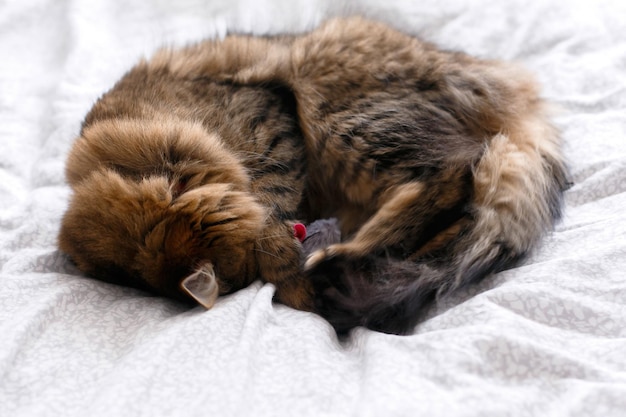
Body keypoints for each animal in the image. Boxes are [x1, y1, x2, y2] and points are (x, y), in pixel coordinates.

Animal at [57, 17, 564, 334]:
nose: (302, 230)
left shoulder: (269, 123)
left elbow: (271, 211)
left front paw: (291, 271)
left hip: (341, 112)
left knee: (451, 173)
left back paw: (338, 259)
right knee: (454, 226)